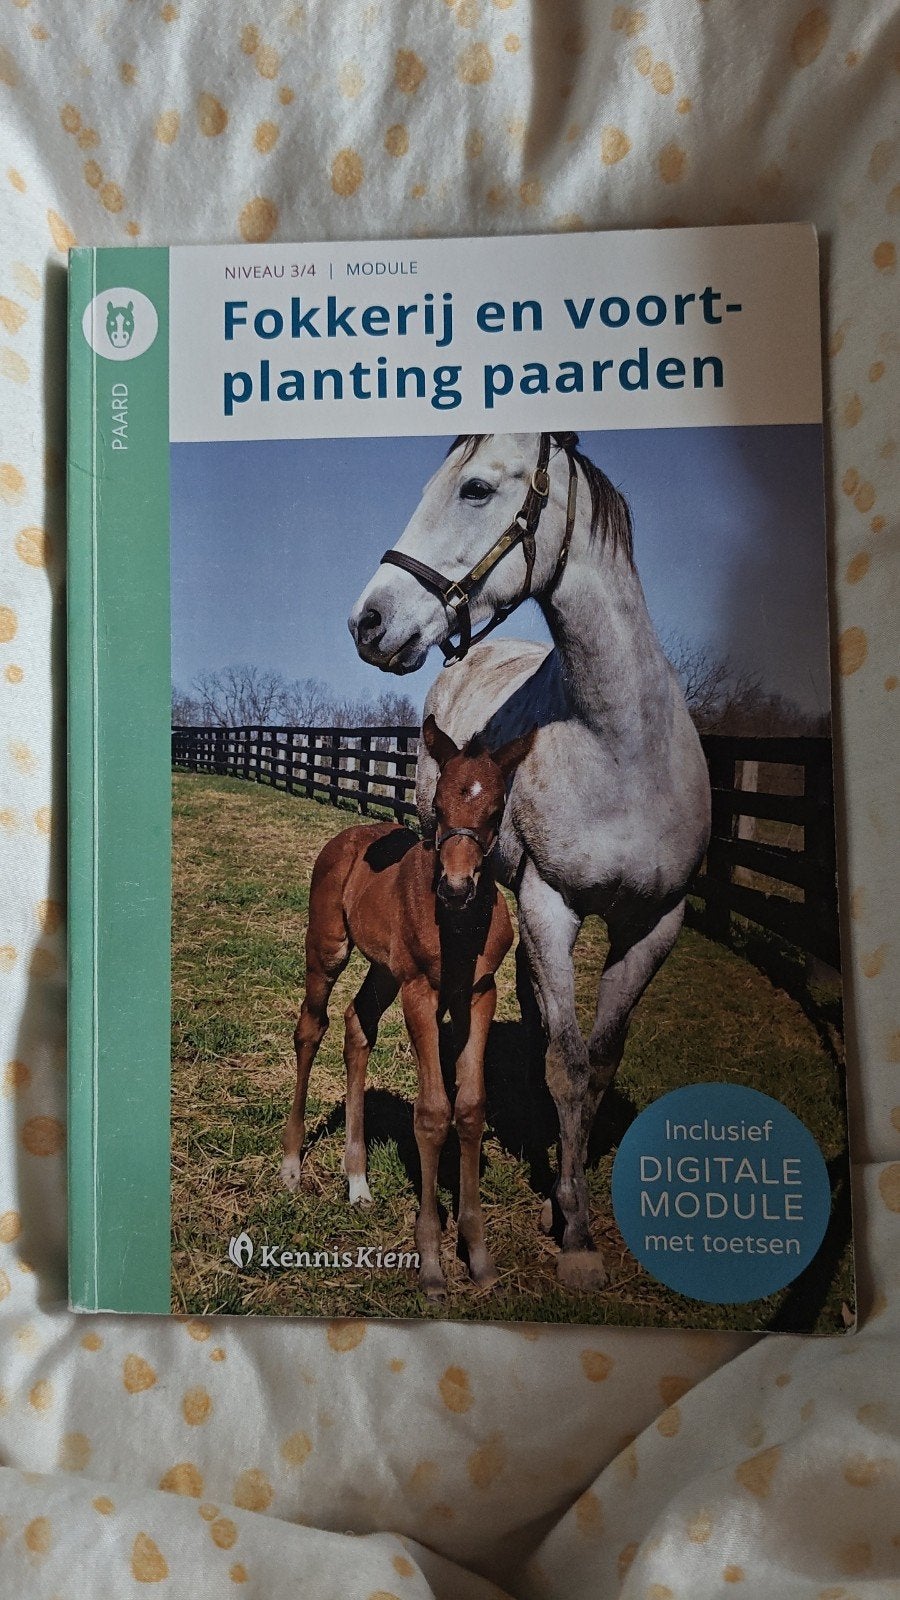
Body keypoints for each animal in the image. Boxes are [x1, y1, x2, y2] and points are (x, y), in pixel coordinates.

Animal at [281, 713, 535, 1298]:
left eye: (496, 809)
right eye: (437, 804)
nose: (457, 887)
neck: (460, 928)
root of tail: (348, 836)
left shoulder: (479, 994)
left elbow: (470, 1107)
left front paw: (478, 1254)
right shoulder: (422, 990)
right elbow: (433, 1113)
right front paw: (433, 1260)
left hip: (383, 969)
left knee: (358, 1024)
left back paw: (357, 1180)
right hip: (327, 948)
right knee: (311, 1027)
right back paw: (291, 1165)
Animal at [348, 431, 711, 1290]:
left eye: (477, 489)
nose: (368, 621)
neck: (624, 747)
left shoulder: (658, 922)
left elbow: (597, 1061)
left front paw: (568, 1201)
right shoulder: (552, 902)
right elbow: (567, 1065)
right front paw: (575, 1235)